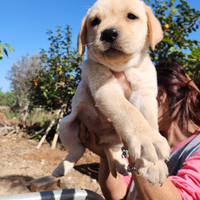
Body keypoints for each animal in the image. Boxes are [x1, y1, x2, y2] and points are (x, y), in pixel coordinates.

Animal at [53, 0, 170, 184]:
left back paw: (121, 166)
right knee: (77, 150)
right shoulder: (105, 88)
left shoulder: (144, 94)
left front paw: (154, 165)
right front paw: (147, 138)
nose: (108, 33)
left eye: (131, 16)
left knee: (114, 151)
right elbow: (129, 111)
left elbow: (149, 121)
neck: (122, 67)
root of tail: (103, 140)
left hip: (116, 139)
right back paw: (62, 168)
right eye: (95, 21)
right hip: (65, 125)